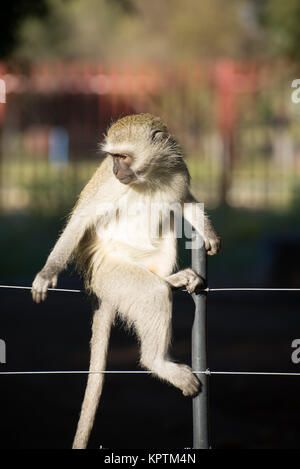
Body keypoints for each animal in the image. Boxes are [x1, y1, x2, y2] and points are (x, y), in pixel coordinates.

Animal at [32, 112, 220, 446]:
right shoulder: (109, 185)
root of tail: (97, 287)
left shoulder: (179, 172)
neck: (151, 176)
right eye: (113, 158)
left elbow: (185, 202)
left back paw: (172, 280)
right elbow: (82, 219)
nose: (116, 170)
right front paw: (48, 271)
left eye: (122, 157)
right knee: (152, 294)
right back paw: (158, 362)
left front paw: (208, 232)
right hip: (112, 277)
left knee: (168, 223)